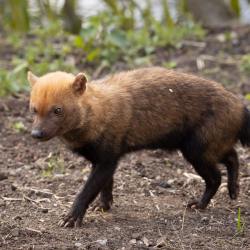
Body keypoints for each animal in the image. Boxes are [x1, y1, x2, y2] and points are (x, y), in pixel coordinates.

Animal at [27, 67, 250, 228]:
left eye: (57, 110)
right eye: (34, 109)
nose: (36, 134)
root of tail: (241, 108)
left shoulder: (108, 157)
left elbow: (88, 190)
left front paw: (71, 218)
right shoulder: (100, 159)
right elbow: (106, 185)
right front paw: (102, 206)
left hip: (197, 150)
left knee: (216, 177)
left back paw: (199, 203)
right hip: (208, 147)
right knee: (232, 156)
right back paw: (234, 191)